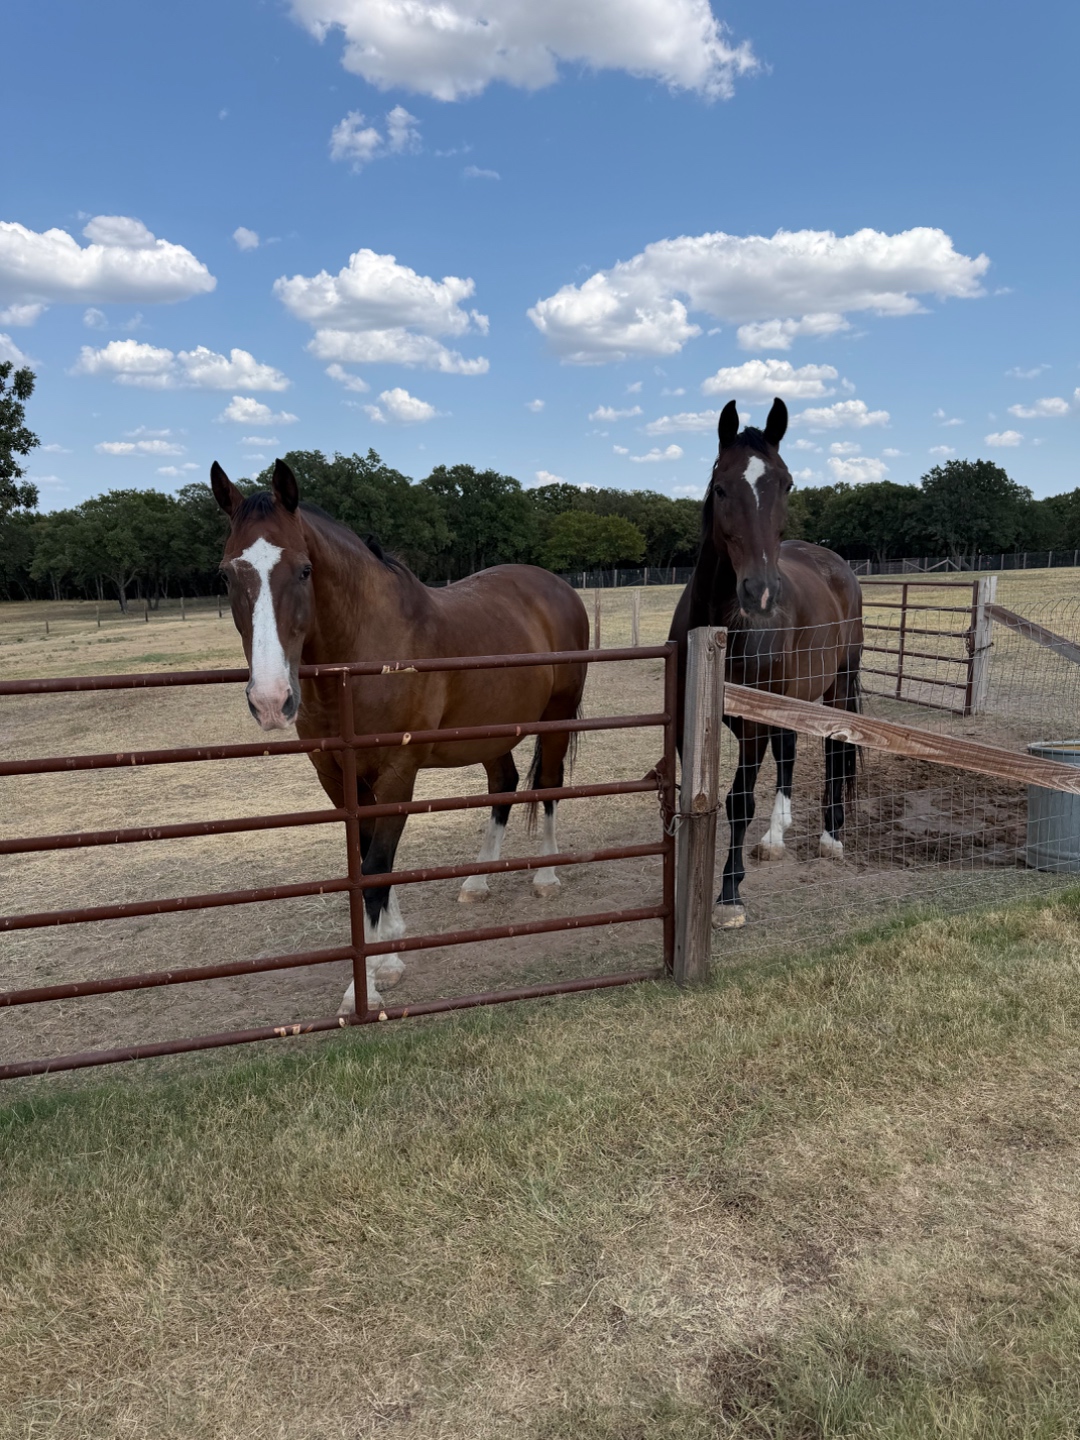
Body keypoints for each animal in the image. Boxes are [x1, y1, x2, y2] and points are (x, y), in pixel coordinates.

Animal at [211, 458, 589, 1012]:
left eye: (304, 570)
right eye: (227, 573)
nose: (270, 700)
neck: (366, 653)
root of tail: (555, 586)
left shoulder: (396, 775)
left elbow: (375, 867)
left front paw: (364, 984)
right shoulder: (336, 777)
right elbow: (366, 859)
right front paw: (388, 950)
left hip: (557, 718)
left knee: (548, 786)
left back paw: (545, 875)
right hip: (490, 734)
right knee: (503, 784)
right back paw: (477, 881)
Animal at [668, 398, 864, 927]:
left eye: (787, 484)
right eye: (720, 486)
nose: (760, 592)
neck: (718, 631)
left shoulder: (753, 727)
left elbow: (738, 802)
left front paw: (729, 893)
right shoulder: (688, 725)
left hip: (839, 686)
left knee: (836, 751)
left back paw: (831, 838)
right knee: (791, 751)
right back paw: (776, 837)